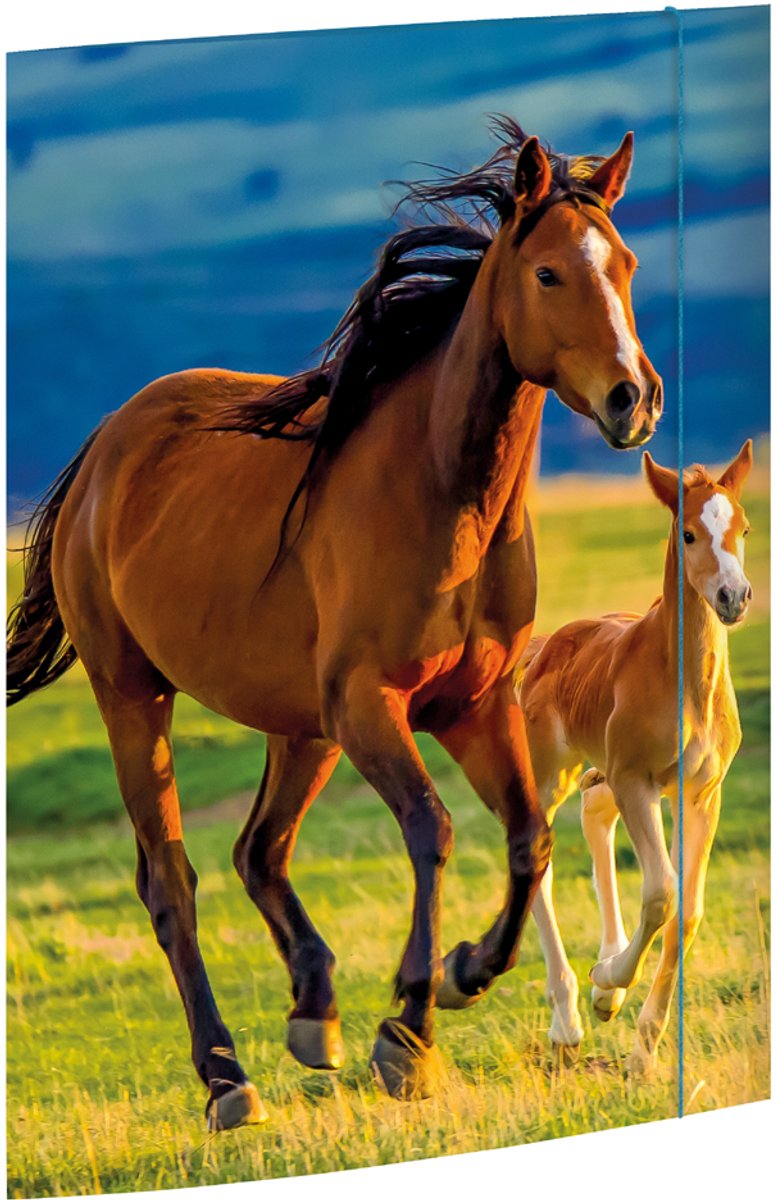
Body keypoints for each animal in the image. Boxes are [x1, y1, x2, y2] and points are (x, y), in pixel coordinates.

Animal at [7, 117, 662, 1129]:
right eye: (550, 273)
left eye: (625, 263)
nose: (635, 398)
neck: (441, 494)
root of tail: (104, 451)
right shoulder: (371, 706)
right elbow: (432, 831)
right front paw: (411, 1029)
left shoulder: (472, 707)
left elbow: (529, 838)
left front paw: (464, 973)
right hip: (136, 698)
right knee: (172, 880)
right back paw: (227, 1078)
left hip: (299, 725)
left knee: (259, 851)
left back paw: (314, 1015)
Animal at [518, 442, 752, 1072]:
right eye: (689, 533)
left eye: (744, 528)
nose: (734, 597)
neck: (685, 681)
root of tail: (544, 646)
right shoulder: (637, 781)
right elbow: (662, 893)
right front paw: (607, 983)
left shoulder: (702, 793)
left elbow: (687, 911)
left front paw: (643, 1050)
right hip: (552, 773)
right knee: (538, 856)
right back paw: (569, 1018)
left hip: (602, 773)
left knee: (594, 815)